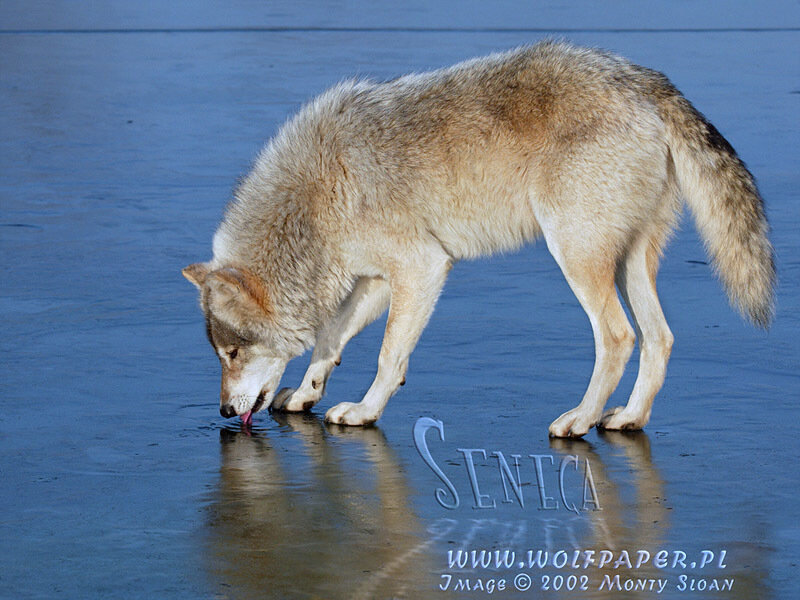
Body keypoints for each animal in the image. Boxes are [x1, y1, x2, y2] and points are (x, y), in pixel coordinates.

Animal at [183, 41, 774, 437]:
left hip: (577, 258)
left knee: (620, 337)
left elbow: (388, 356)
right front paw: (307, 394)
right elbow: (331, 340)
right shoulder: (379, 280)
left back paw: (580, 420)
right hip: (628, 264)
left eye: (232, 352)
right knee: (661, 337)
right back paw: (628, 417)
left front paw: (365, 412)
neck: (315, 195)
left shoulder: (422, 267)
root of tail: (647, 81)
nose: (221, 413)